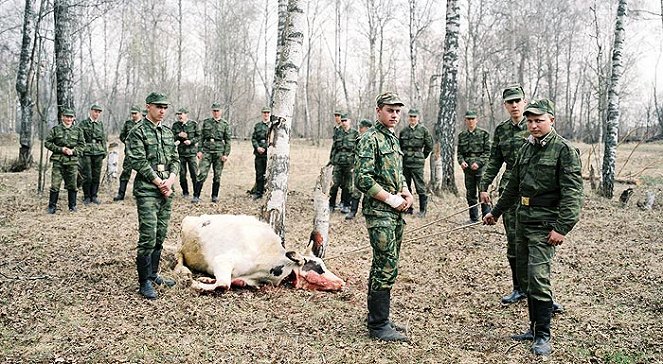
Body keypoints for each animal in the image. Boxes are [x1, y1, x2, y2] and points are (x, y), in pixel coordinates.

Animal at [172, 215, 348, 292]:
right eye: (319, 267)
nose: (342, 282)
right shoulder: (222, 260)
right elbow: (223, 284)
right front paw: (195, 284)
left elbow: (231, 282)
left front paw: (205, 280)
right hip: (181, 242)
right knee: (179, 257)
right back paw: (183, 271)